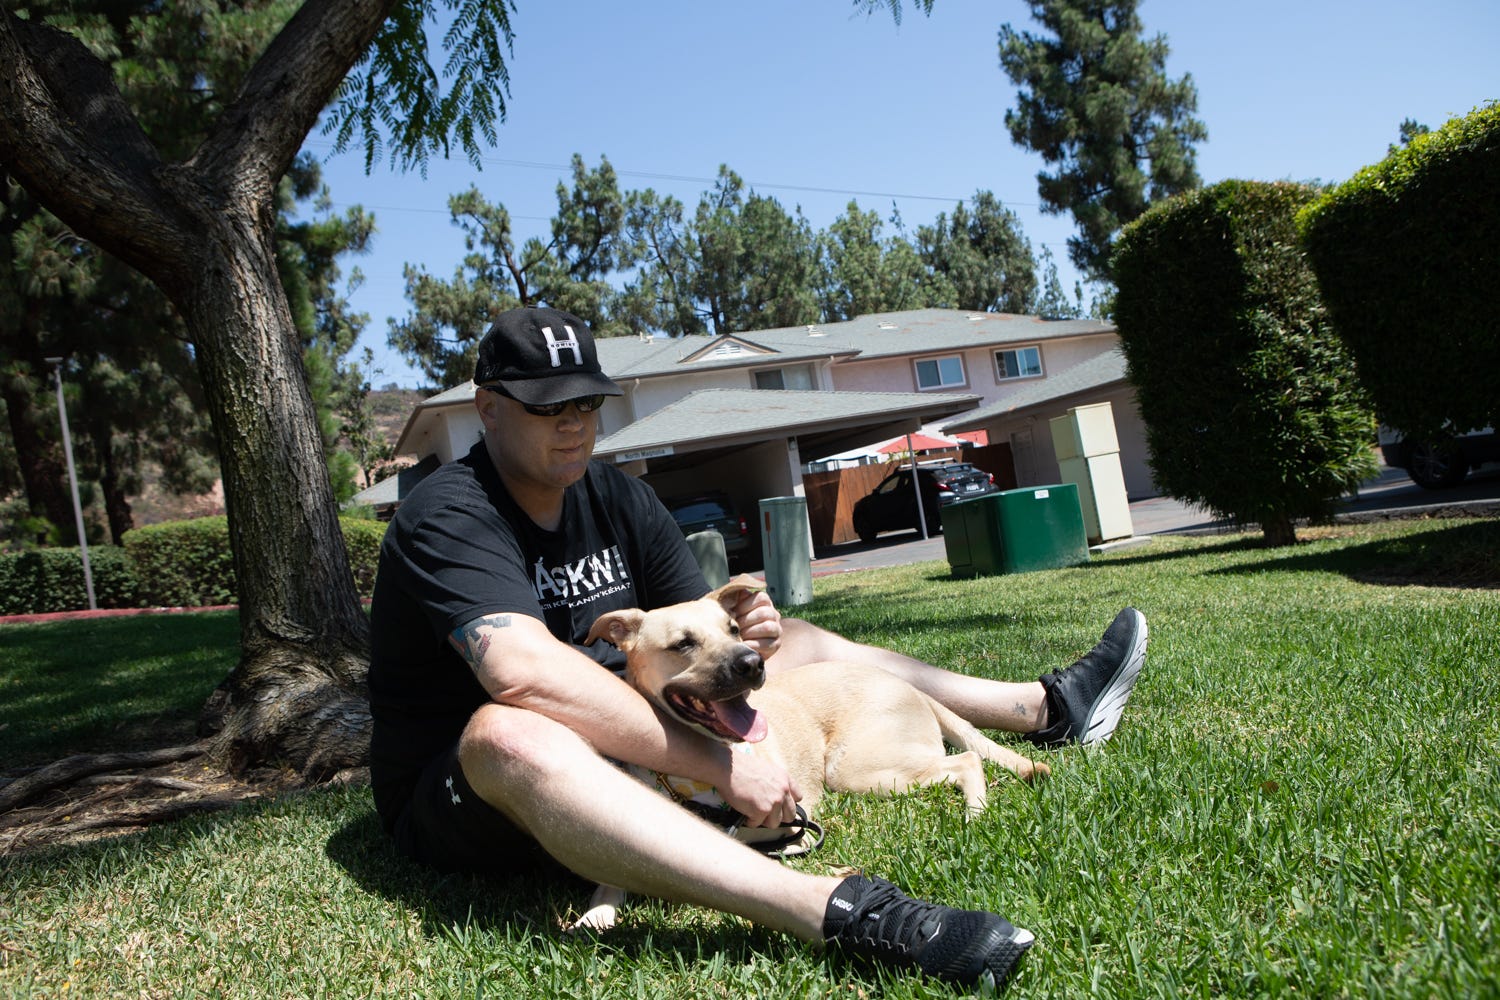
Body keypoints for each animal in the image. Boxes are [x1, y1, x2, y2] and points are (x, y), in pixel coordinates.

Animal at [567, 575, 1050, 935]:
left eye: (735, 630)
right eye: (683, 643)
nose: (752, 662)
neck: (700, 766)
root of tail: (910, 685)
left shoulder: (792, 812)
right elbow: (608, 880)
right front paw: (598, 912)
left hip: (858, 768)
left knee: (966, 761)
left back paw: (975, 811)